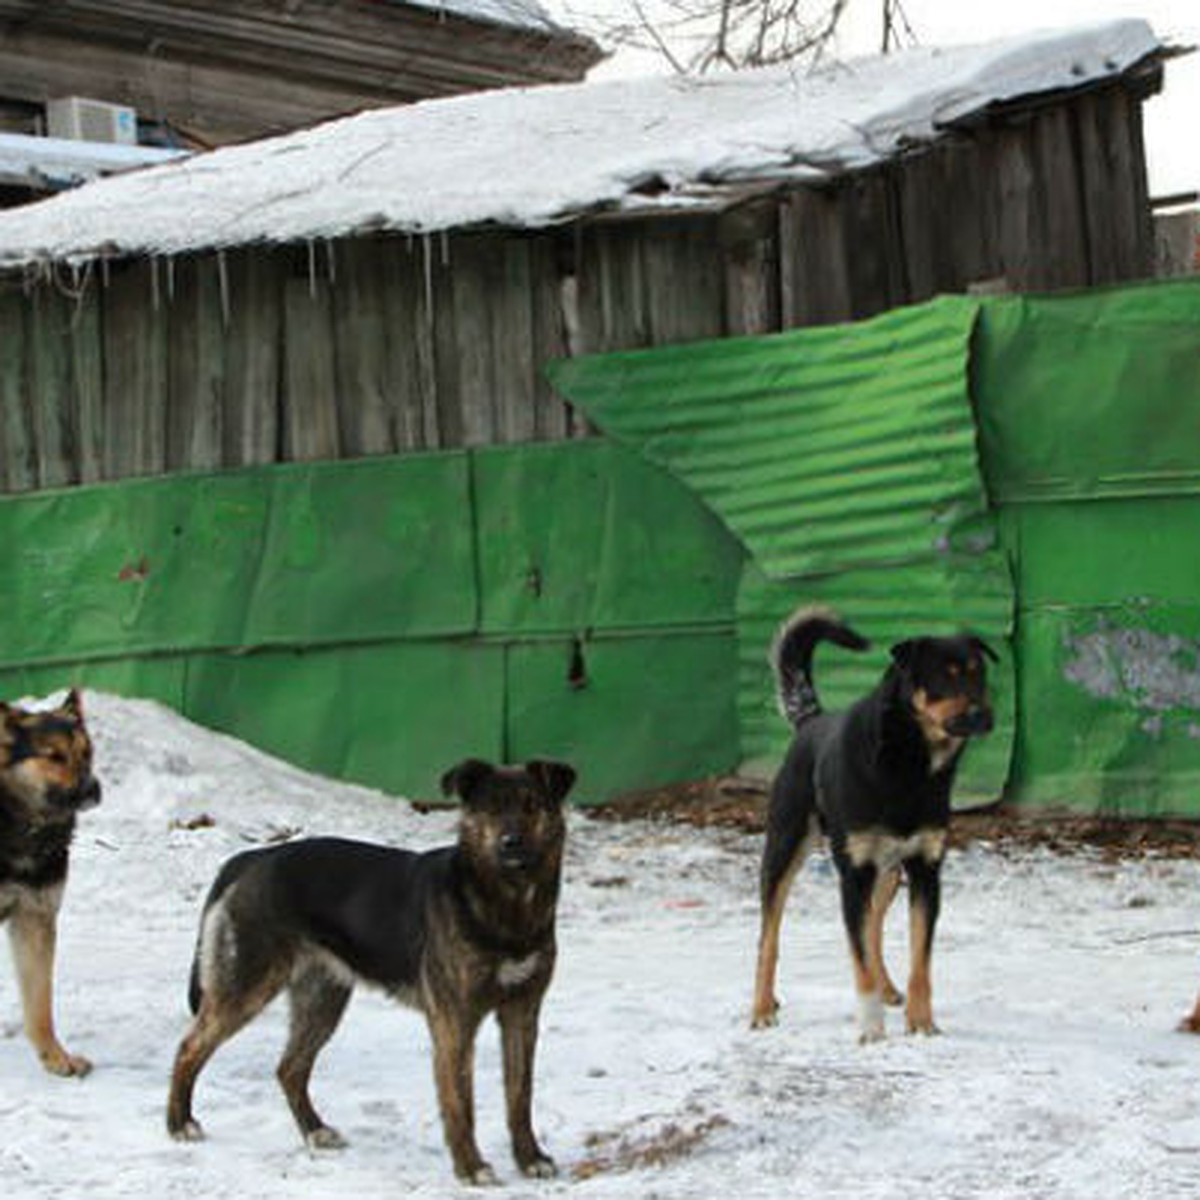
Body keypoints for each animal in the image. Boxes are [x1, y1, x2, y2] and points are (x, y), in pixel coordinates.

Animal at [0, 691, 100, 1075]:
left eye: (88, 752)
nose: (92, 789)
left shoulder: (34, 917)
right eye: (54, 756)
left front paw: (56, 1057)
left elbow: (40, 1003)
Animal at [168, 758, 576, 1180]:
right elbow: (460, 1103)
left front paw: (530, 1158)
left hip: (322, 999)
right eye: (491, 808)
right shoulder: (454, 1020)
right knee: (189, 1048)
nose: (511, 842)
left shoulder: (522, 1012)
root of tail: (252, 859)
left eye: (532, 805)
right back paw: (180, 1123)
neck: (508, 906)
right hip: (246, 986)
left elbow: (520, 1096)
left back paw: (315, 1131)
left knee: (289, 1068)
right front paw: (470, 1167)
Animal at [748, 609, 993, 1041]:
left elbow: (919, 960)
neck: (910, 764)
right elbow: (857, 958)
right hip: (784, 849)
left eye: (979, 674)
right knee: (769, 937)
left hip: (890, 873)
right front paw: (872, 1031)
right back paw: (762, 1008)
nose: (985, 715)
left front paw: (921, 1022)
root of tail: (810, 721)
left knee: (875, 926)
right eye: (945, 677)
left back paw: (888, 988)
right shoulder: (853, 874)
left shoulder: (926, 870)